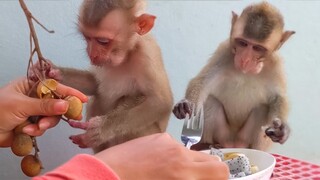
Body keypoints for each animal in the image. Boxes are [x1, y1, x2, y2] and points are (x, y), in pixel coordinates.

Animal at [172, 1, 296, 150]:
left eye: (258, 48)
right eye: (243, 43)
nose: (245, 60)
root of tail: (233, 144)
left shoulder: (276, 64)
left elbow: (278, 97)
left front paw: (282, 129)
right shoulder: (224, 51)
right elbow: (202, 82)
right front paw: (184, 104)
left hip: (243, 139)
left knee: (262, 109)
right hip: (223, 134)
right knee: (210, 102)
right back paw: (205, 145)